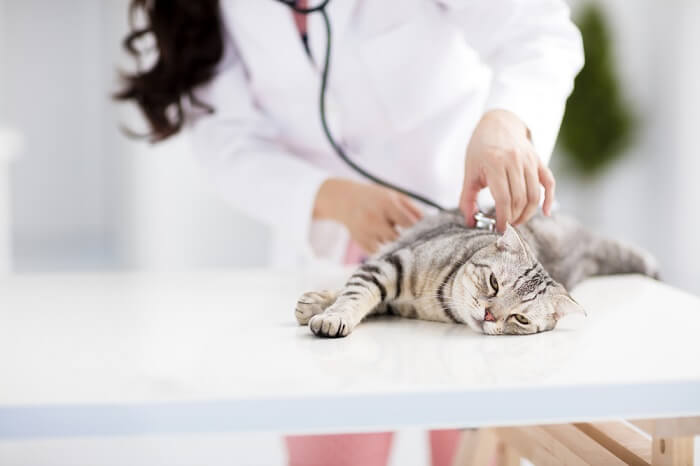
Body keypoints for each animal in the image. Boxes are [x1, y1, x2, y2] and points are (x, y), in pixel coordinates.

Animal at [294, 209, 656, 336]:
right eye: (494, 283)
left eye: (520, 318)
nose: (489, 315)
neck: (435, 301)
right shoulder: (390, 263)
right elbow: (355, 294)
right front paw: (332, 314)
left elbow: (363, 295)